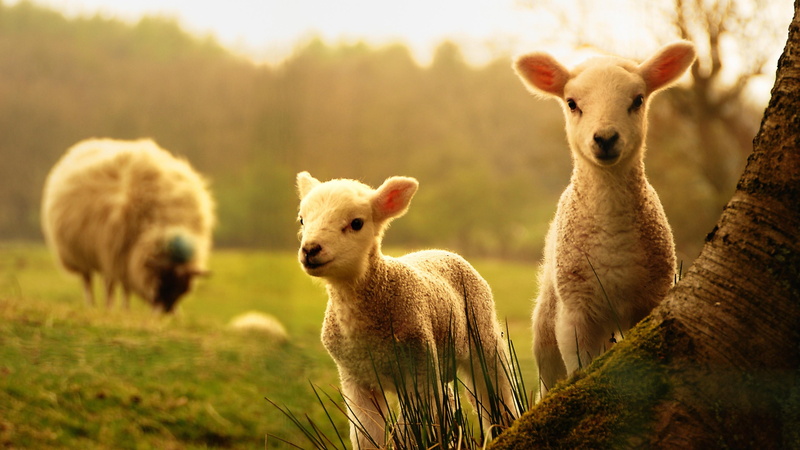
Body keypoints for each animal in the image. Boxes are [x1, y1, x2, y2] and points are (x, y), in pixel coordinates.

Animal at [41, 138, 215, 313]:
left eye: (183, 288)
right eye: (161, 279)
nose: (165, 313)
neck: (164, 224)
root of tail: (86, 144)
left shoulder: (126, 258)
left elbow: (126, 287)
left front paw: (125, 310)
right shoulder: (116, 252)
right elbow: (116, 286)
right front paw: (116, 309)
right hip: (79, 254)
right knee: (88, 281)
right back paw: (93, 305)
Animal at [295, 171, 517, 448]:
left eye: (356, 223)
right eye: (302, 220)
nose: (310, 250)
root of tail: (443, 250)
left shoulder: (419, 371)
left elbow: (410, 432)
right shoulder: (356, 379)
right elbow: (366, 435)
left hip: (483, 336)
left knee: (497, 394)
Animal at [513, 42, 696, 397]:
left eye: (638, 100)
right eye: (572, 103)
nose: (606, 138)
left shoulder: (649, 301)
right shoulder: (575, 313)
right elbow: (578, 369)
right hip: (547, 323)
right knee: (548, 378)